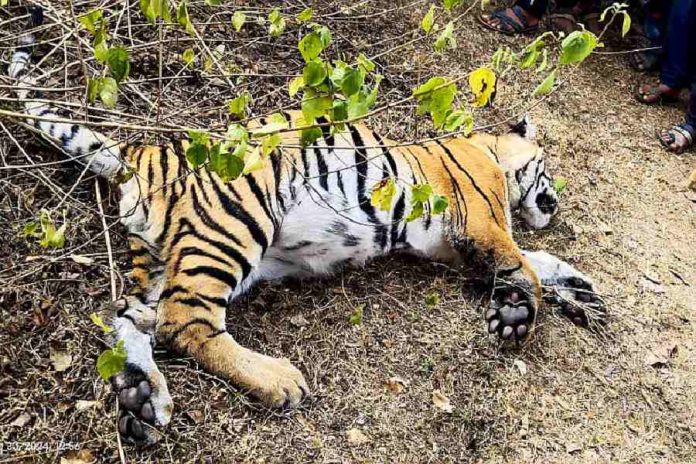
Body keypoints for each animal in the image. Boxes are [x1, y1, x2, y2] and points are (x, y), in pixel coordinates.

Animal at [8, 7, 604, 445]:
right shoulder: (481, 222)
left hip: (162, 257)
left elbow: (540, 262)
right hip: (234, 227)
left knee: (127, 314)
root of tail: (143, 151)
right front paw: (518, 314)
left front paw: (583, 293)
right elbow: (525, 264)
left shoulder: (453, 244)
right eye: (548, 168)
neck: (491, 152)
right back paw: (278, 382)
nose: (555, 205)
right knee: (184, 322)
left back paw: (140, 399)